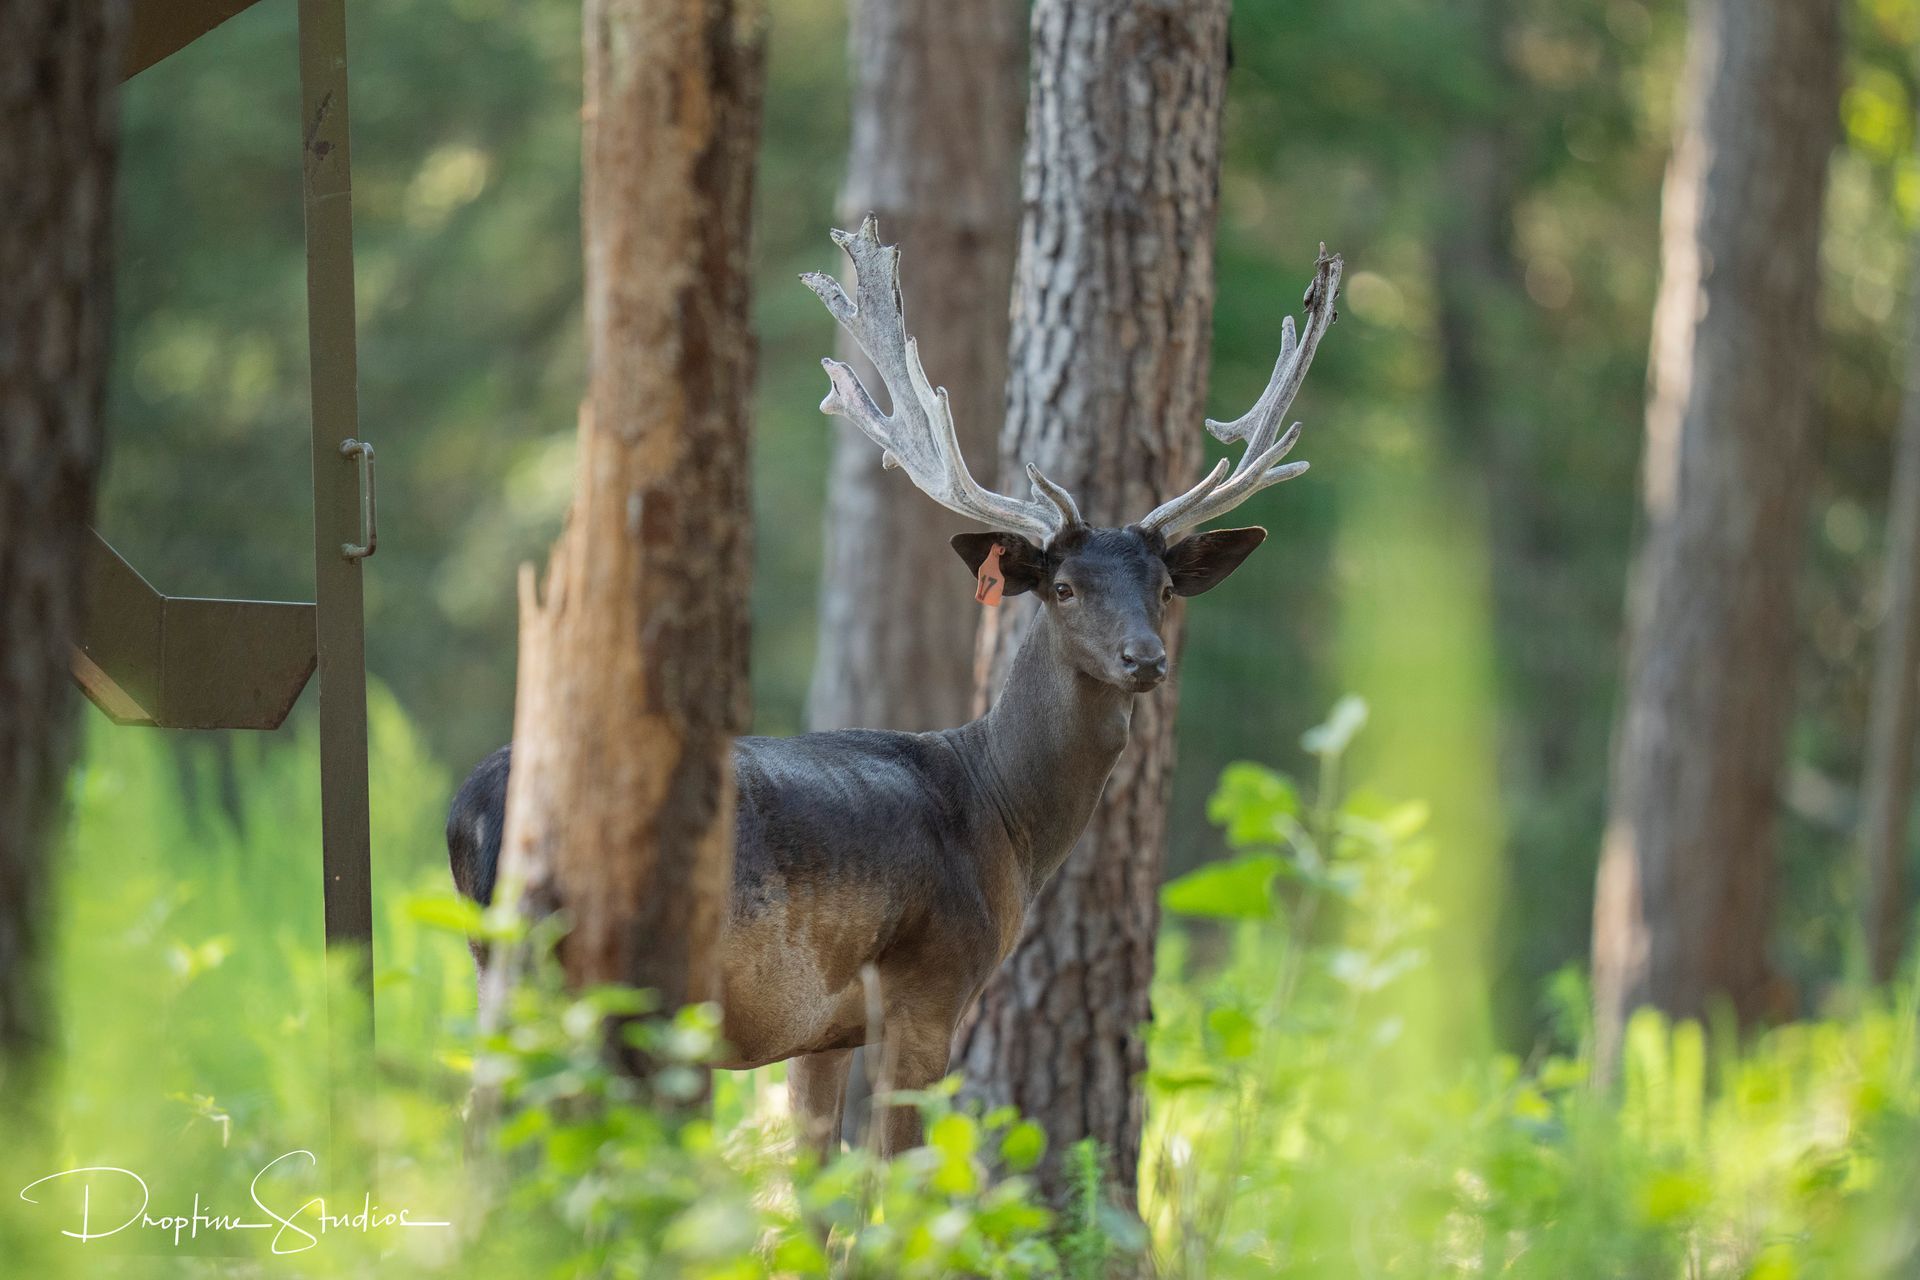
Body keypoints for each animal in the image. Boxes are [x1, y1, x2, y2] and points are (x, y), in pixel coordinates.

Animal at [448, 217, 1341, 1157]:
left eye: (1165, 589)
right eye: (1063, 589)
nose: (1145, 659)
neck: (1004, 818)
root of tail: (469, 812)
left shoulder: (821, 1031)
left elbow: (808, 1180)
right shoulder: (929, 988)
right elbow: (894, 1176)